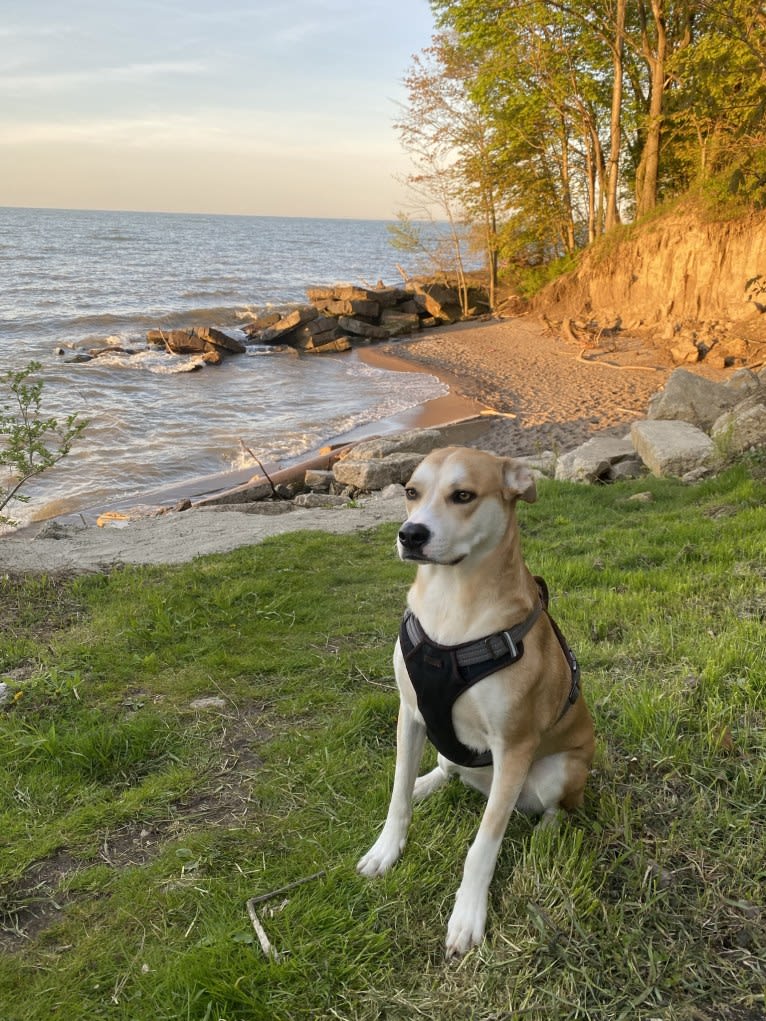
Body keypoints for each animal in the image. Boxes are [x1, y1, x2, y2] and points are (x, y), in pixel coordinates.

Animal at [357, 445, 596, 955]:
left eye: (463, 495)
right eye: (411, 492)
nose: (410, 534)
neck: (452, 601)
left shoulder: (514, 744)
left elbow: (484, 844)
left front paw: (468, 915)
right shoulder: (410, 714)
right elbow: (397, 796)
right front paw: (386, 849)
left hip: (561, 770)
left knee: (558, 806)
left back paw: (545, 832)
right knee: (446, 768)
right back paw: (429, 782)